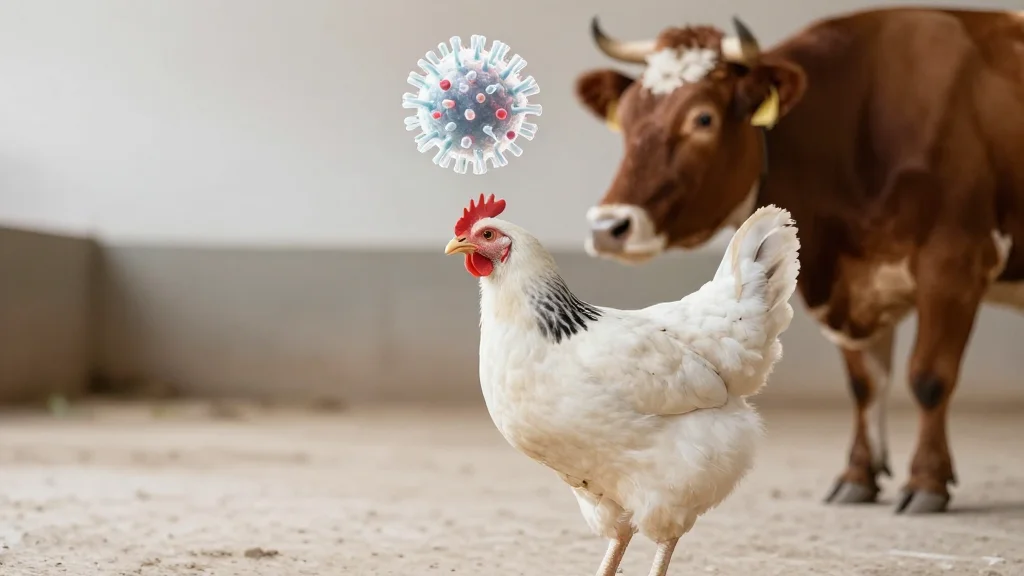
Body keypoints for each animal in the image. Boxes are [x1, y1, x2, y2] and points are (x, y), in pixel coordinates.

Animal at [574, 6, 1024, 514]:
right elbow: (865, 383)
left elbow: (929, 377)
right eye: (627, 118)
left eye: (703, 118)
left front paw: (927, 482)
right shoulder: (852, 283)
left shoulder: (954, 264)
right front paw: (858, 477)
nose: (608, 226)